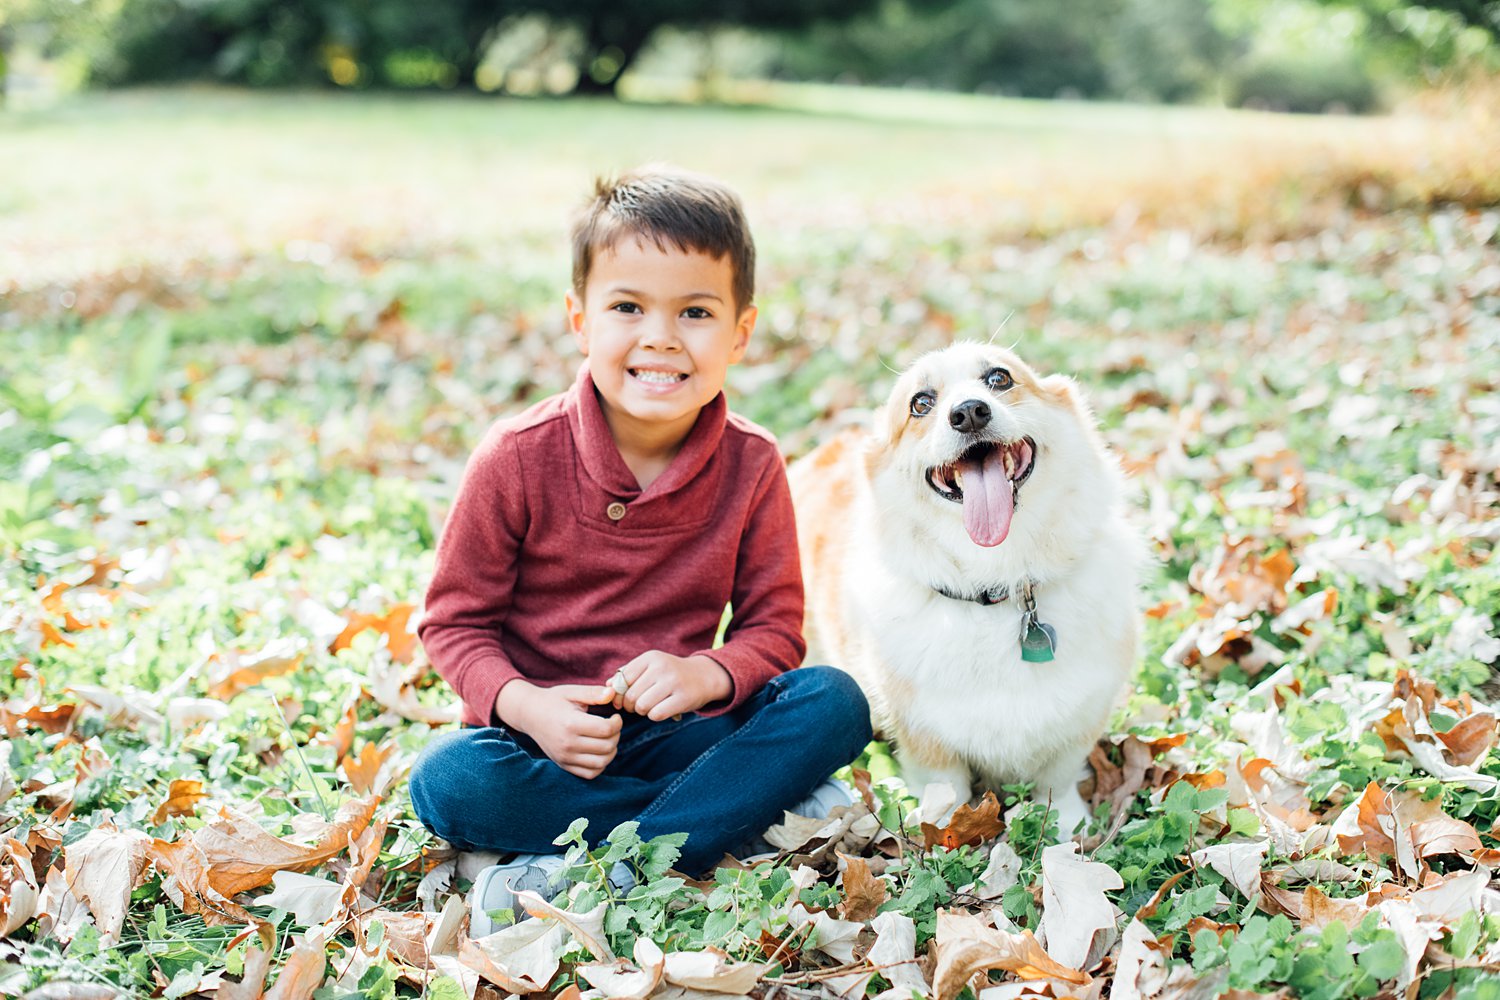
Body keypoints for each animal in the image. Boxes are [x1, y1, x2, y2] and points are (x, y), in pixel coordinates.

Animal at [786, 340, 1134, 833]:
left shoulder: (1080, 717)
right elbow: (947, 789)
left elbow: (1058, 781)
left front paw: (1068, 828)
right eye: (921, 403)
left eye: (1000, 378)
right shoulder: (925, 736)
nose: (969, 412)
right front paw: (947, 830)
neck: (997, 579)